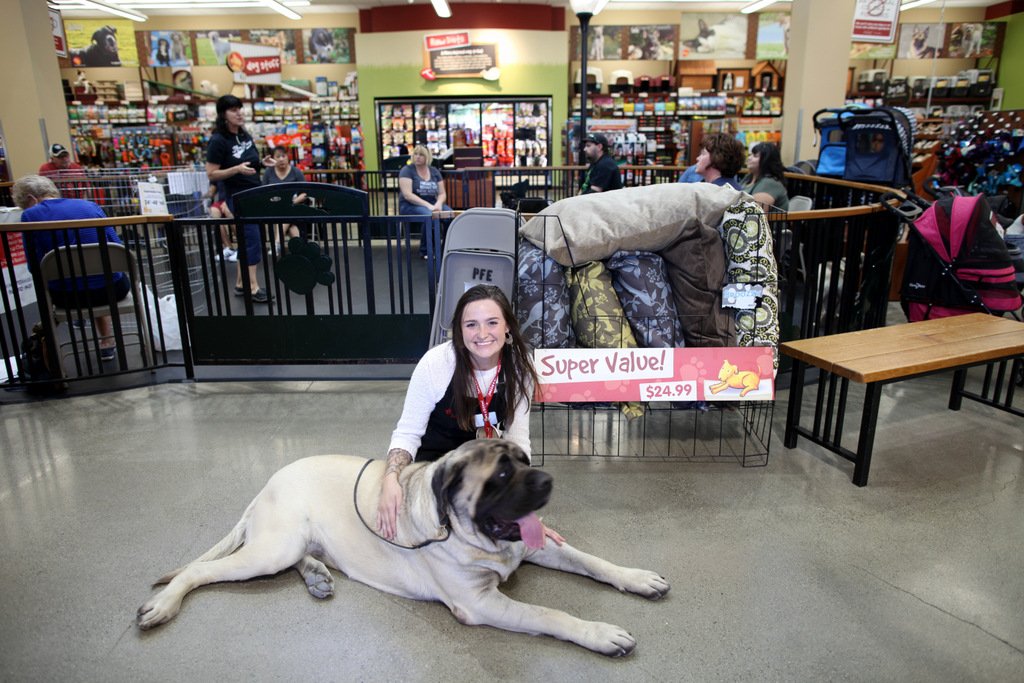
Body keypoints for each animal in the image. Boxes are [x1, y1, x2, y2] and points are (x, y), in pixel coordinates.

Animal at [138, 440, 671, 655]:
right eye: (501, 475)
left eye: (523, 459)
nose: (547, 479)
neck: (473, 537)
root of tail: (265, 484)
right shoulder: (481, 602)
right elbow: (549, 614)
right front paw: (601, 634)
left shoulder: (537, 548)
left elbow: (591, 560)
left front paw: (636, 578)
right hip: (271, 549)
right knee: (196, 572)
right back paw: (162, 605)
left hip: (288, 547)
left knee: (303, 558)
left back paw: (317, 575)